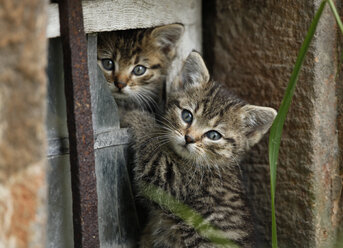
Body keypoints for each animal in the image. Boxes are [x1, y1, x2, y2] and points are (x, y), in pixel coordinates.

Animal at [125, 51, 278, 247]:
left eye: (213, 135)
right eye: (187, 116)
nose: (188, 138)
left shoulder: (170, 180)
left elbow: (150, 143)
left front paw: (131, 114)